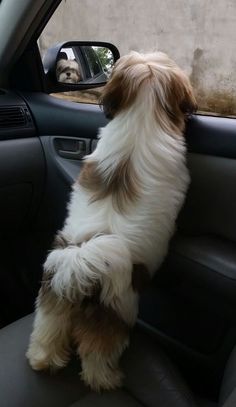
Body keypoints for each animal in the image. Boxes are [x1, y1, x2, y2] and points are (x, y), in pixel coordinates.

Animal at [26, 51, 196, 392]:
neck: (142, 116)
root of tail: (82, 265)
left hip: (55, 293)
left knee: (49, 327)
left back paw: (44, 360)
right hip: (117, 310)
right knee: (99, 349)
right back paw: (106, 379)